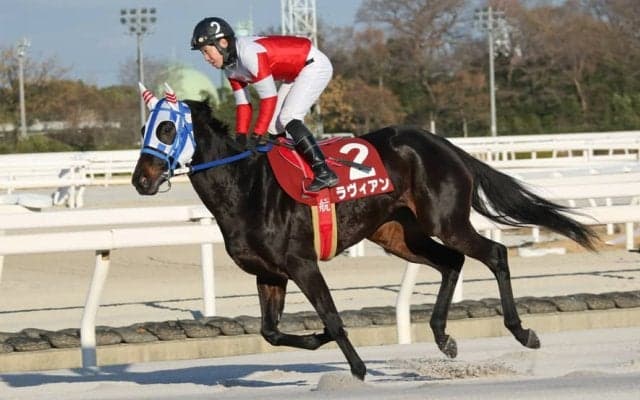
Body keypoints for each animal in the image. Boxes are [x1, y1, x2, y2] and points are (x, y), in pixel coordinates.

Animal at [132, 84, 598, 380]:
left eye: (167, 128)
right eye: (143, 129)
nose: (140, 180)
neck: (246, 187)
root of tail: (445, 145)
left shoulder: (302, 264)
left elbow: (334, 319)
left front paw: (357, 369)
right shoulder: (269, 273)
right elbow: (271, 332)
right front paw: (317, 339)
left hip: (444, 221)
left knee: (494, 255)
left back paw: (522, 331)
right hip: (398, 234)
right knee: (452, 261)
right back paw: (442, 336)